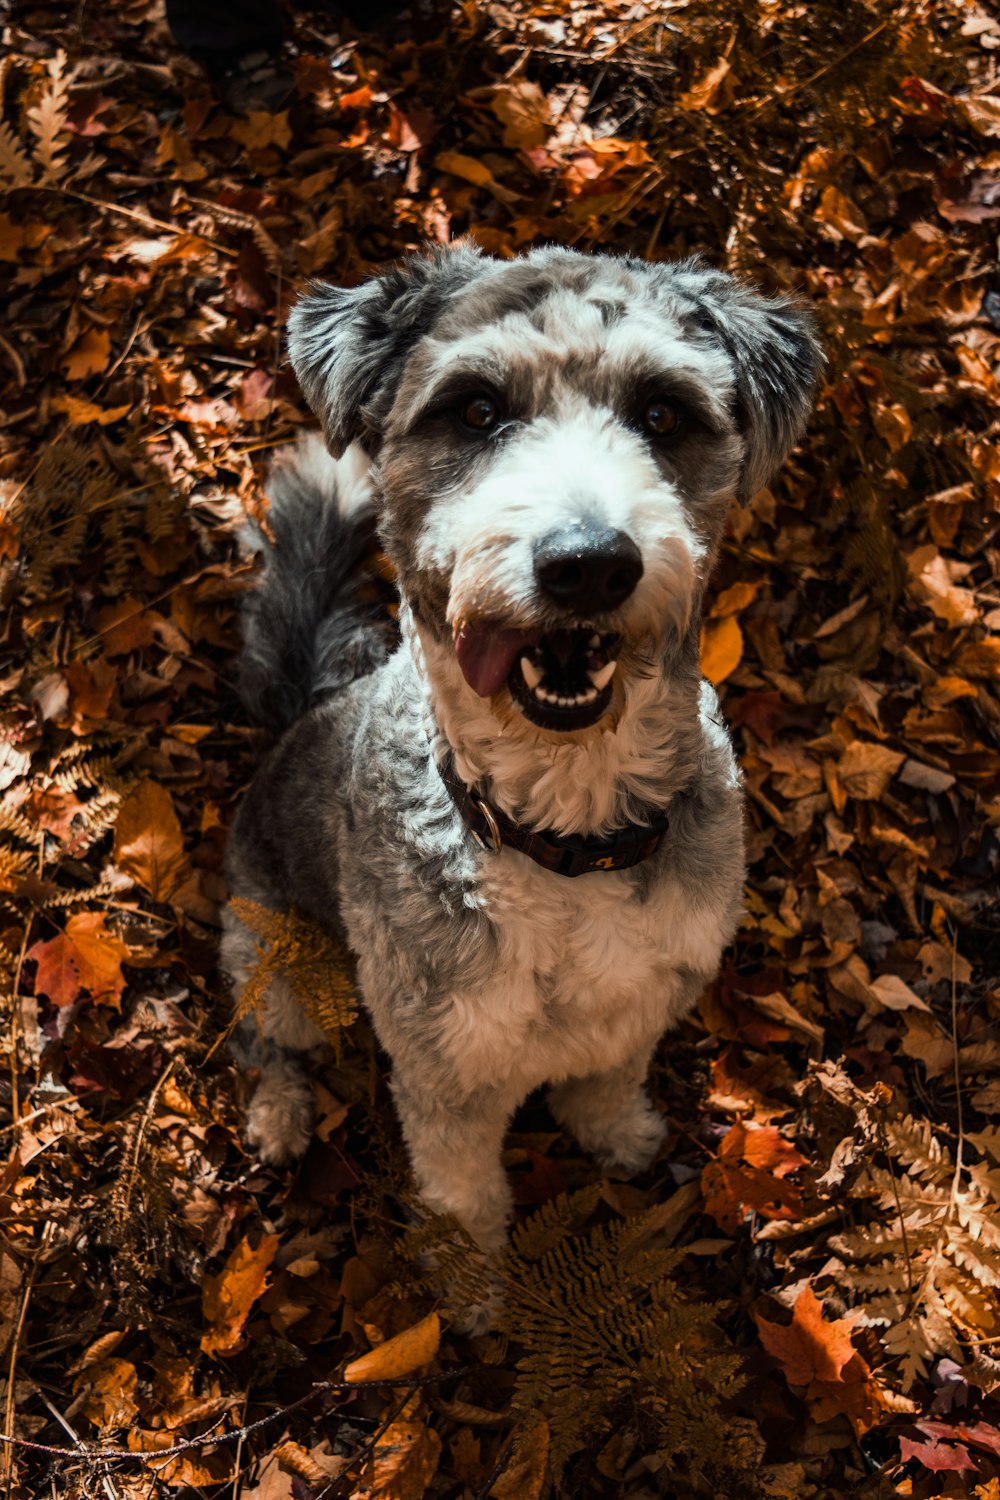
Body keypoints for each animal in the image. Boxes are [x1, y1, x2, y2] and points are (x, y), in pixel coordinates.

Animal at [224, 246, 821, 1278]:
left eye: (664, 413)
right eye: (474, 409)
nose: (588, 562)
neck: (566, 834)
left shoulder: (646, 997)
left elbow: (606, 1083)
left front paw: (615, 1134)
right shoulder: (444, 1068)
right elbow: (465, 1201)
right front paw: (474, 1296)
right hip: (272, 953)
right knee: (270, 1043)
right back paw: (281, 1115)